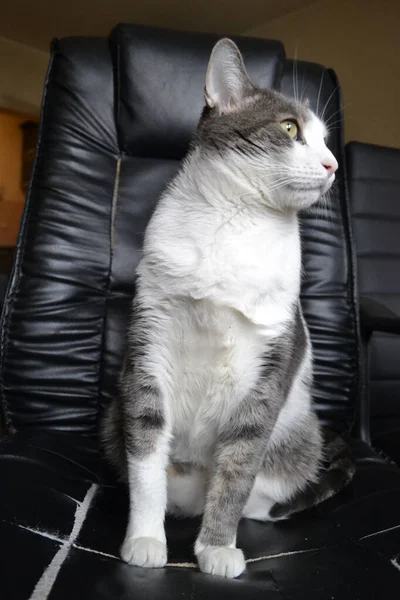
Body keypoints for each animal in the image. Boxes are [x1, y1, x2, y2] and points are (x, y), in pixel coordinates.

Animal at [101, 38, 354, 580]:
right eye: (289, 129)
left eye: (327, 142)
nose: (333, 166)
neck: (236, 222)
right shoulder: (149, 341)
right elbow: (146, 460)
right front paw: (146, 541)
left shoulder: (271, 360)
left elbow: (238, 467)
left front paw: (216, 548)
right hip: (113, 413)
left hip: (299, 438)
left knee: (259, 494)